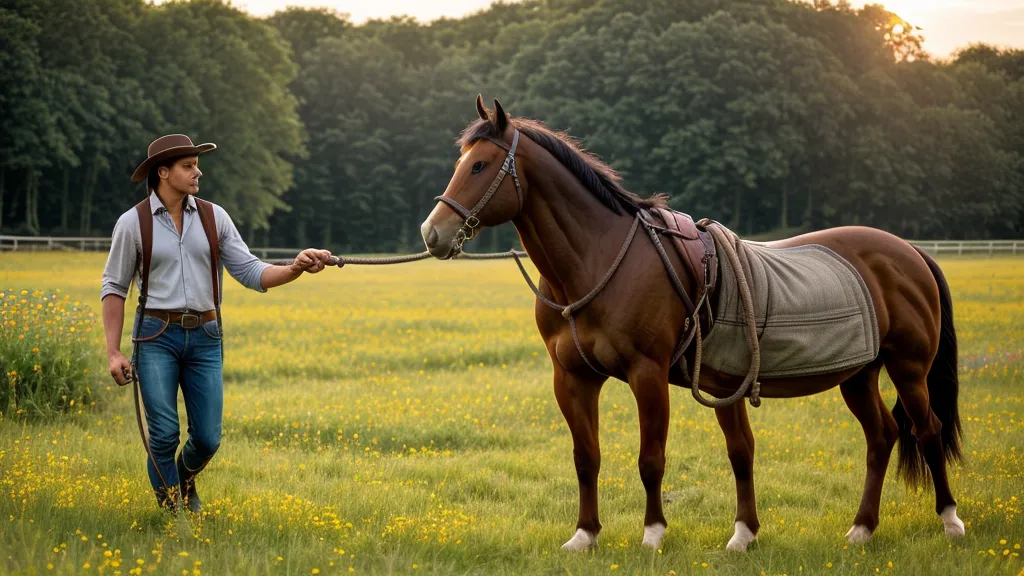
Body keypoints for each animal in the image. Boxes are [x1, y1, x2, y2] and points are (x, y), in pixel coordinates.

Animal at [419, 95, 964, 552]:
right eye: (461, 163)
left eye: (480, 165)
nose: (432, 233)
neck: (597, 260)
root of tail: (909, 252)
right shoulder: (573, 379)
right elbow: (588, 457)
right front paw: (586, 535)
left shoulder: (647, 374)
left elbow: (651, 458)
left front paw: (653, 534)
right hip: (859, 375)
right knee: (882, 437)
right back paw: (862, 529)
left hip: (908, 369)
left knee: (928, 430)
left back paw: (950, 521)